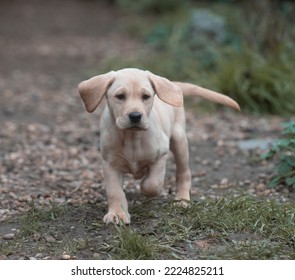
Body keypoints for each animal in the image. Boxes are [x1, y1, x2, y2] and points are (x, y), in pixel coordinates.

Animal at [78, 69, 240, 224]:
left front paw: (144, 184)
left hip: (179, 140)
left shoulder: (161, 155)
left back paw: (182, 199)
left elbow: (152, 184)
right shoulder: (110, 164)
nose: (135, 116)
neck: (132, 137)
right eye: (120, 96)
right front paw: (117, 214)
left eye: (146, 96)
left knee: (183, 173)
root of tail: (174, 84)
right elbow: (115, 191)